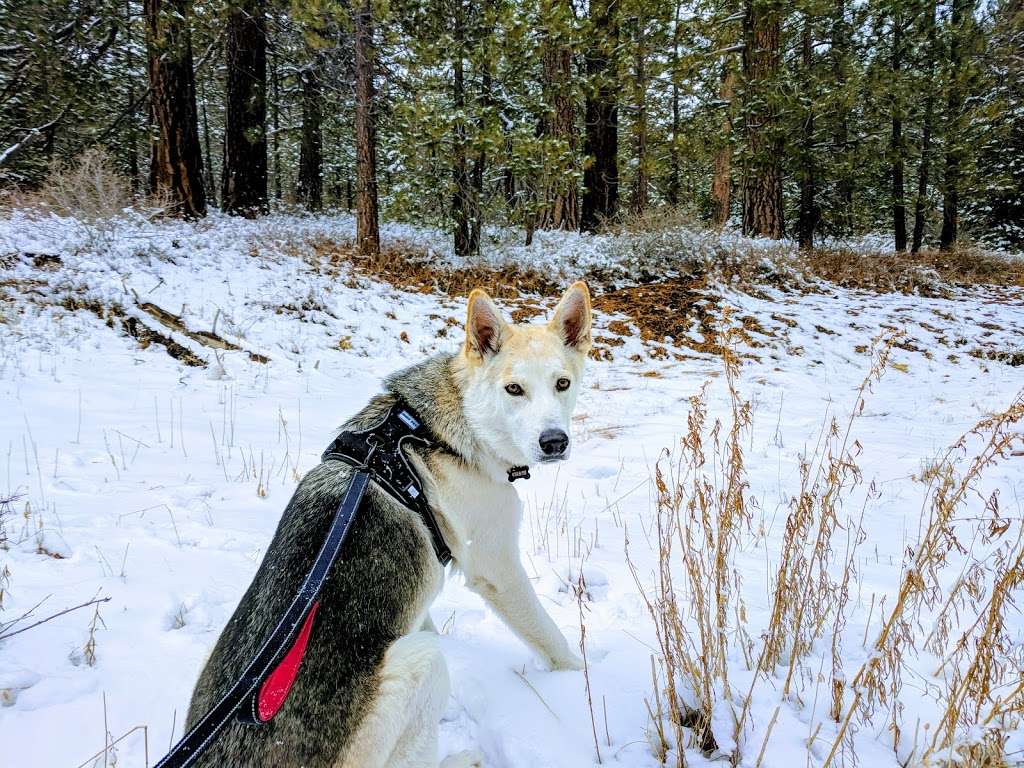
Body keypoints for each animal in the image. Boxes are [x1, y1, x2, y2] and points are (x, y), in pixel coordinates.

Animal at [186, 282, 593, 768]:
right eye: (514, 389)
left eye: (562, 384)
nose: (554, 442)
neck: (438, 428)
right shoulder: (499, 572)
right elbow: (550, 638)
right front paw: (580, 682)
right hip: (422, 665)